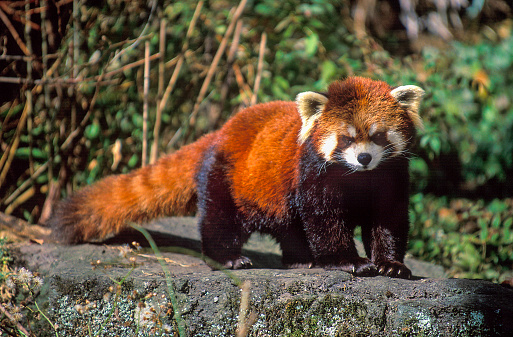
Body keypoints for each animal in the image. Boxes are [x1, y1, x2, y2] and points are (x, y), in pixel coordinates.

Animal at [49, 76, 424, 278]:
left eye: (377, 136)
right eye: (345, 139)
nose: (364, 158)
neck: (357, 177)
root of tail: (220, 131)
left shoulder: (390, 176)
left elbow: (388, 221)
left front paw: (390, 265)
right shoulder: (314, 174)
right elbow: (325, 220)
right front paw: (349, 261)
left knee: (287, 223)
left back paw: (299, 259)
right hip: (226, 176)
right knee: (220, 219)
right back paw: (228, 257)